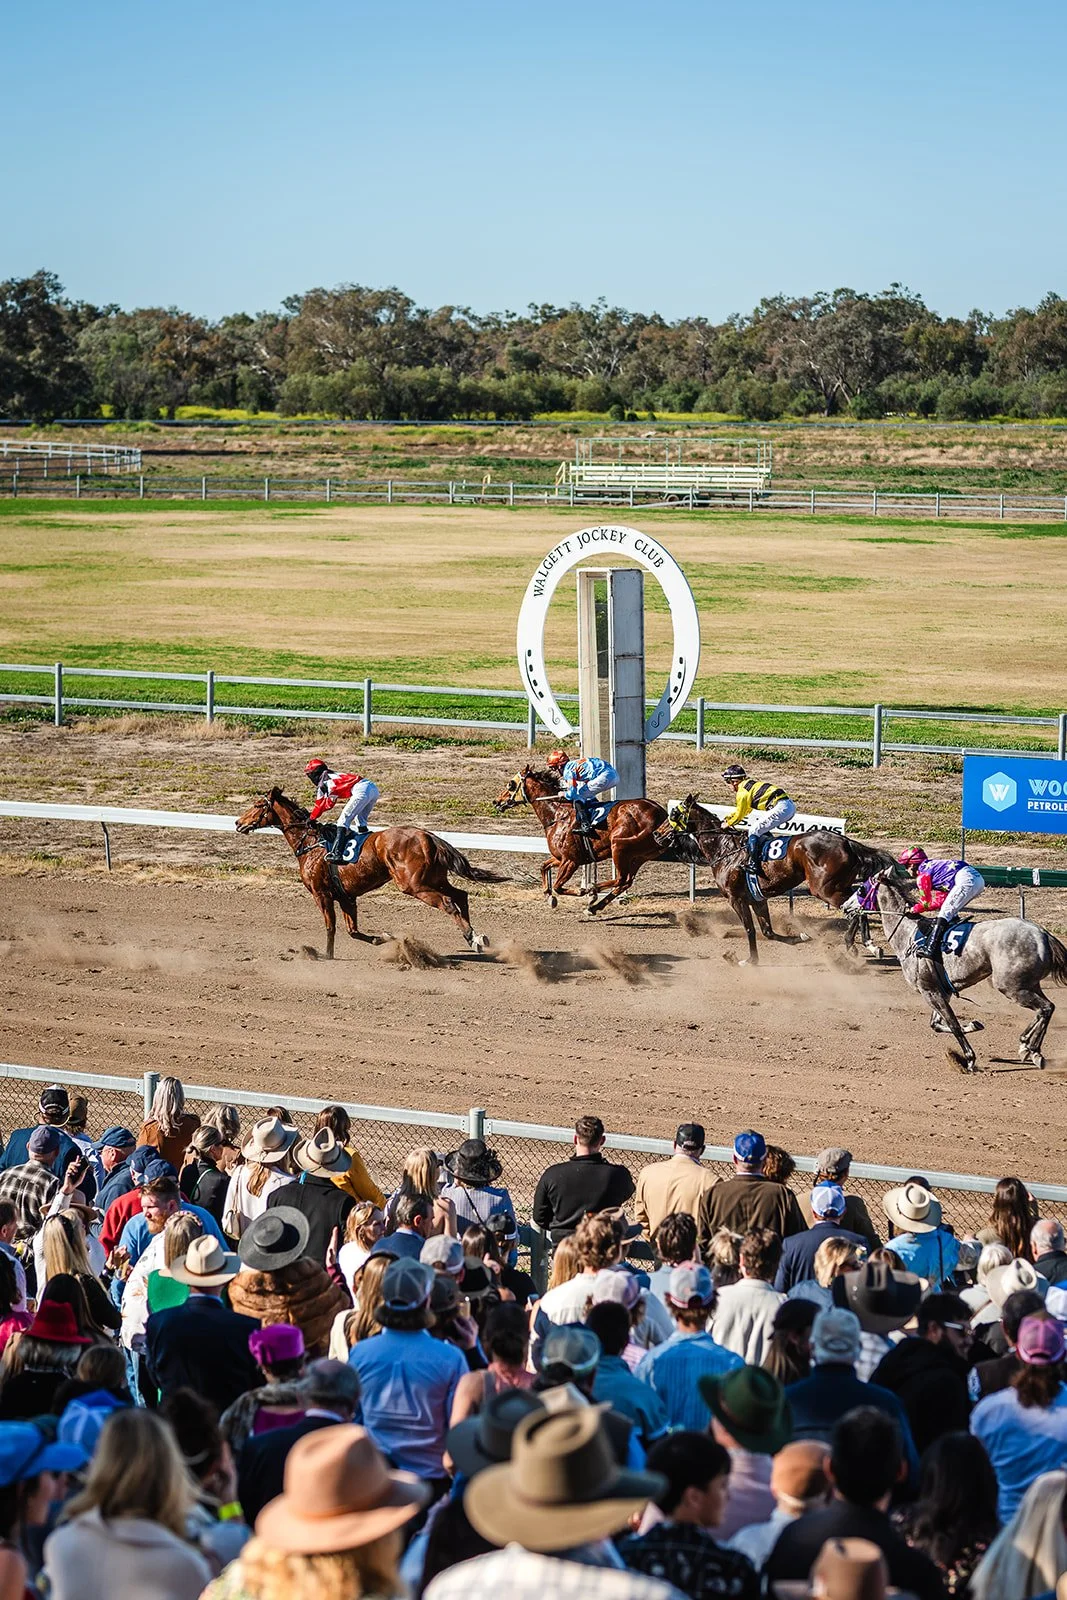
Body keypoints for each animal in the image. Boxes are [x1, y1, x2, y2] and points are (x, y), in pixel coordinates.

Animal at [235, 789, 506, 957]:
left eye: (258, 805)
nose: (238, 823)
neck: (311, 843)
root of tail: (427, 835)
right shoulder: (346, 897)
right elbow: (353, 931)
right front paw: (383, 938)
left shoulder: (321, 894)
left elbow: (331, 927)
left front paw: (326, 955)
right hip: (434, 878)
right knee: (461, 895)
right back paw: (476, 938)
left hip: (413, 885)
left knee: (449, 902)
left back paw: (471, 936)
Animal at [492, 766, 671, 916]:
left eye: (510, 784)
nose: (496, 801)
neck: (557, 815)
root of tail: (662, 813)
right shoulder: (561, 858)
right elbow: (544, 867)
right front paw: (549, 897)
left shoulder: (571, 861)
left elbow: (558, 886)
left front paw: (580, 891)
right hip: (639, 856)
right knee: (626, 882)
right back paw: (594, 906)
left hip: (619, 846)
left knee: (622, 879)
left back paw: (592, 891)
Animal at [669, 794, 900, 965]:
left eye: (674, 813)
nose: (663, 834)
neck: (724, 849)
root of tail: (847, 842)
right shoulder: (757, 898)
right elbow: (767, 932)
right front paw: (800, 937)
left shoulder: (736, 898)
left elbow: (750, 929)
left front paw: (749, 961)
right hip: (838, 885)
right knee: (860, 903)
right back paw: (867, 944)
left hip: (824, 889)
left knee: (856, 908)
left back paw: (853, 944)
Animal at [867, 871, 1067, 1073]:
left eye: (862, 888)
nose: (854, 907)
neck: (907, 934)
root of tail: (1042, 934)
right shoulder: (941, 991)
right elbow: (937, 1025)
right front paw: (973, 1025)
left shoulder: (929, 991)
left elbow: (953, 1024)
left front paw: (969, 1059)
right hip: (1029, 983)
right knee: (1046, 1008)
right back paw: (1027, 1046)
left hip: (1012, 987)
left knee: (1045, 1008)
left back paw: (1031, 1048)